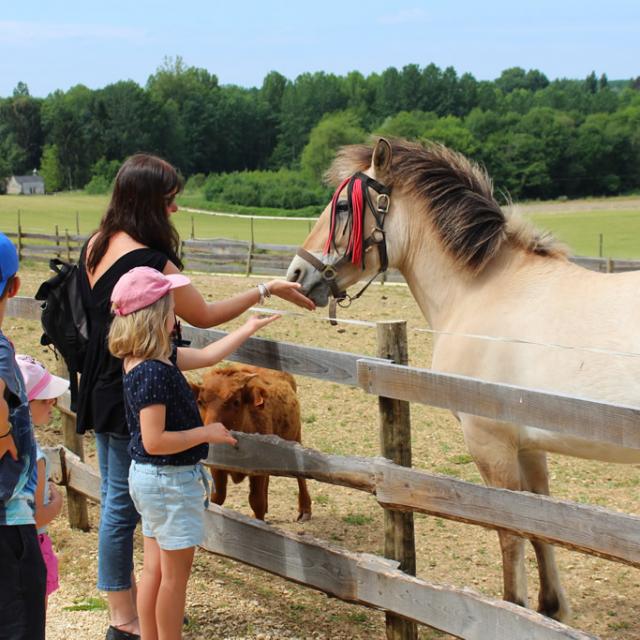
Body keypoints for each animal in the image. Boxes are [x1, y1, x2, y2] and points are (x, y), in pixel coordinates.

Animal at [191, 362, 312, 524]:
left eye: (236, 402)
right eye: (199, 401)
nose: (210, 431)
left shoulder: (257, 470)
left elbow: (256, 501)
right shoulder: (217, 468)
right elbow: (217, 498)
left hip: (295, 436)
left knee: (300, 476)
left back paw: (305, 509)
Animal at [288, 136, 640, 620]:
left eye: (343, 207)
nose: (295, 273)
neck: (483, 289)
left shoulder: (489, 441)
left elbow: (510, 532)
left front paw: (514, 610)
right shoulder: (527, 445)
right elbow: (541, 525)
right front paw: (550, 610)